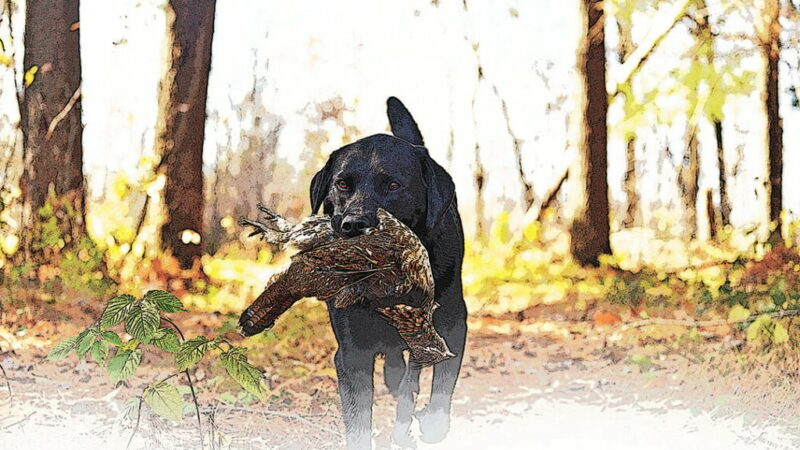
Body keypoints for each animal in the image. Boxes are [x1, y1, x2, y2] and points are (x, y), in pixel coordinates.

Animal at [308, 97, 468, 446]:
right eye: (342, 184)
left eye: (393, 185)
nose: (353, 224)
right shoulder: (352, 351)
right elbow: (358, 420)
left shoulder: (452, 324)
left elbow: (442, 382)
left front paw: (433, 424)